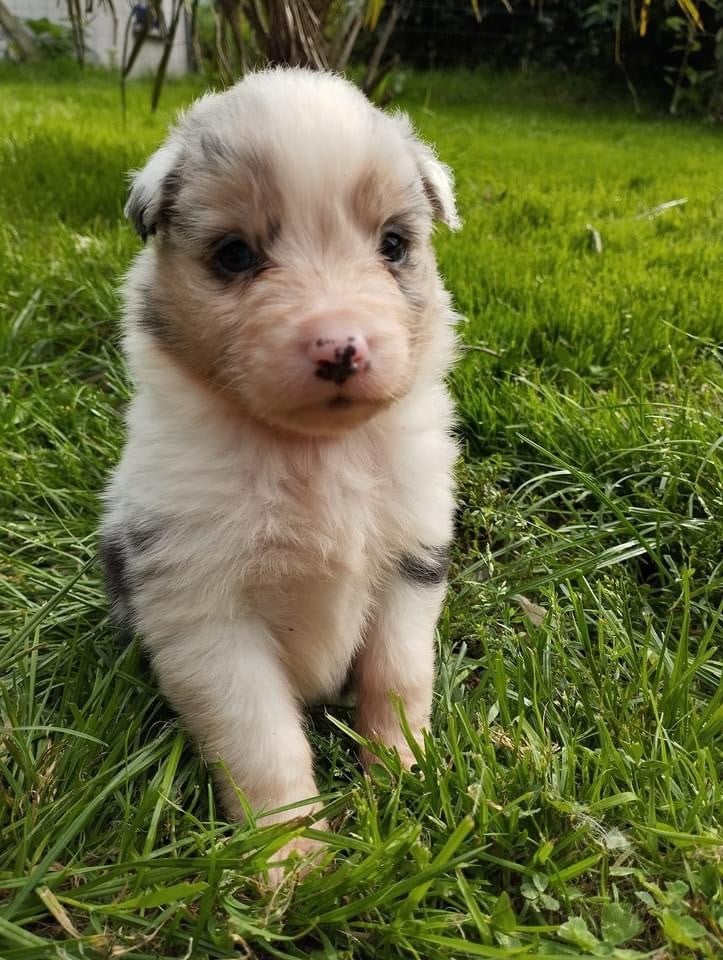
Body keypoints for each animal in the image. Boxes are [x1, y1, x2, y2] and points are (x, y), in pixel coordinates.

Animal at [99, 65, 460, 864]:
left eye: (394, 245)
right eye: (235, 255)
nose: (341, 346)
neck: (313, 453)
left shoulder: (411, 559)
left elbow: (398, 677)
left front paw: (403, 778)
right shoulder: (204, 613)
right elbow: (263, 742)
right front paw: (294, 862)